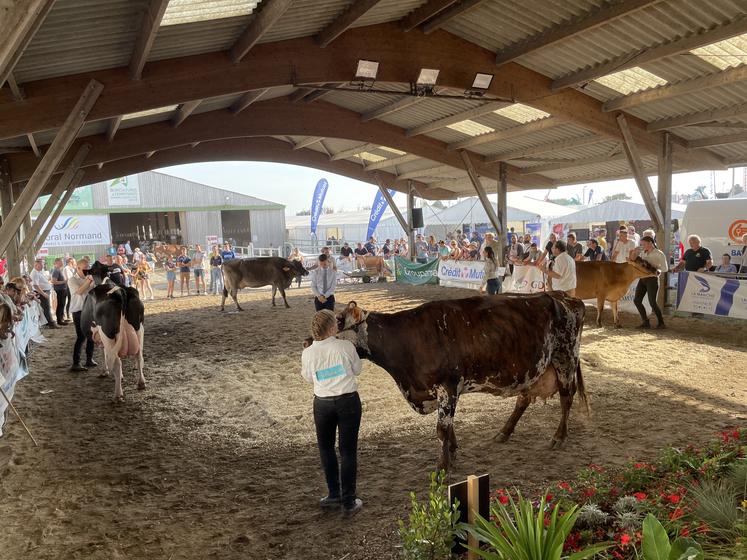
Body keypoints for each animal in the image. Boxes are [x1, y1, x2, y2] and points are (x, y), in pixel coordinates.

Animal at [334, 290, 592, 470]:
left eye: (338, 322)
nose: (319, 341)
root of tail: (564, 296)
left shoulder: (448, 386)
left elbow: (442, 428)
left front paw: (443, 465)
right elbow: (448, 426)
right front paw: (453, 452)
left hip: (565, 358)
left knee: (566, 398)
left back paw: (559, 437)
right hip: (533, 370)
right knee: (523, 400)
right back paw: (504, 432)